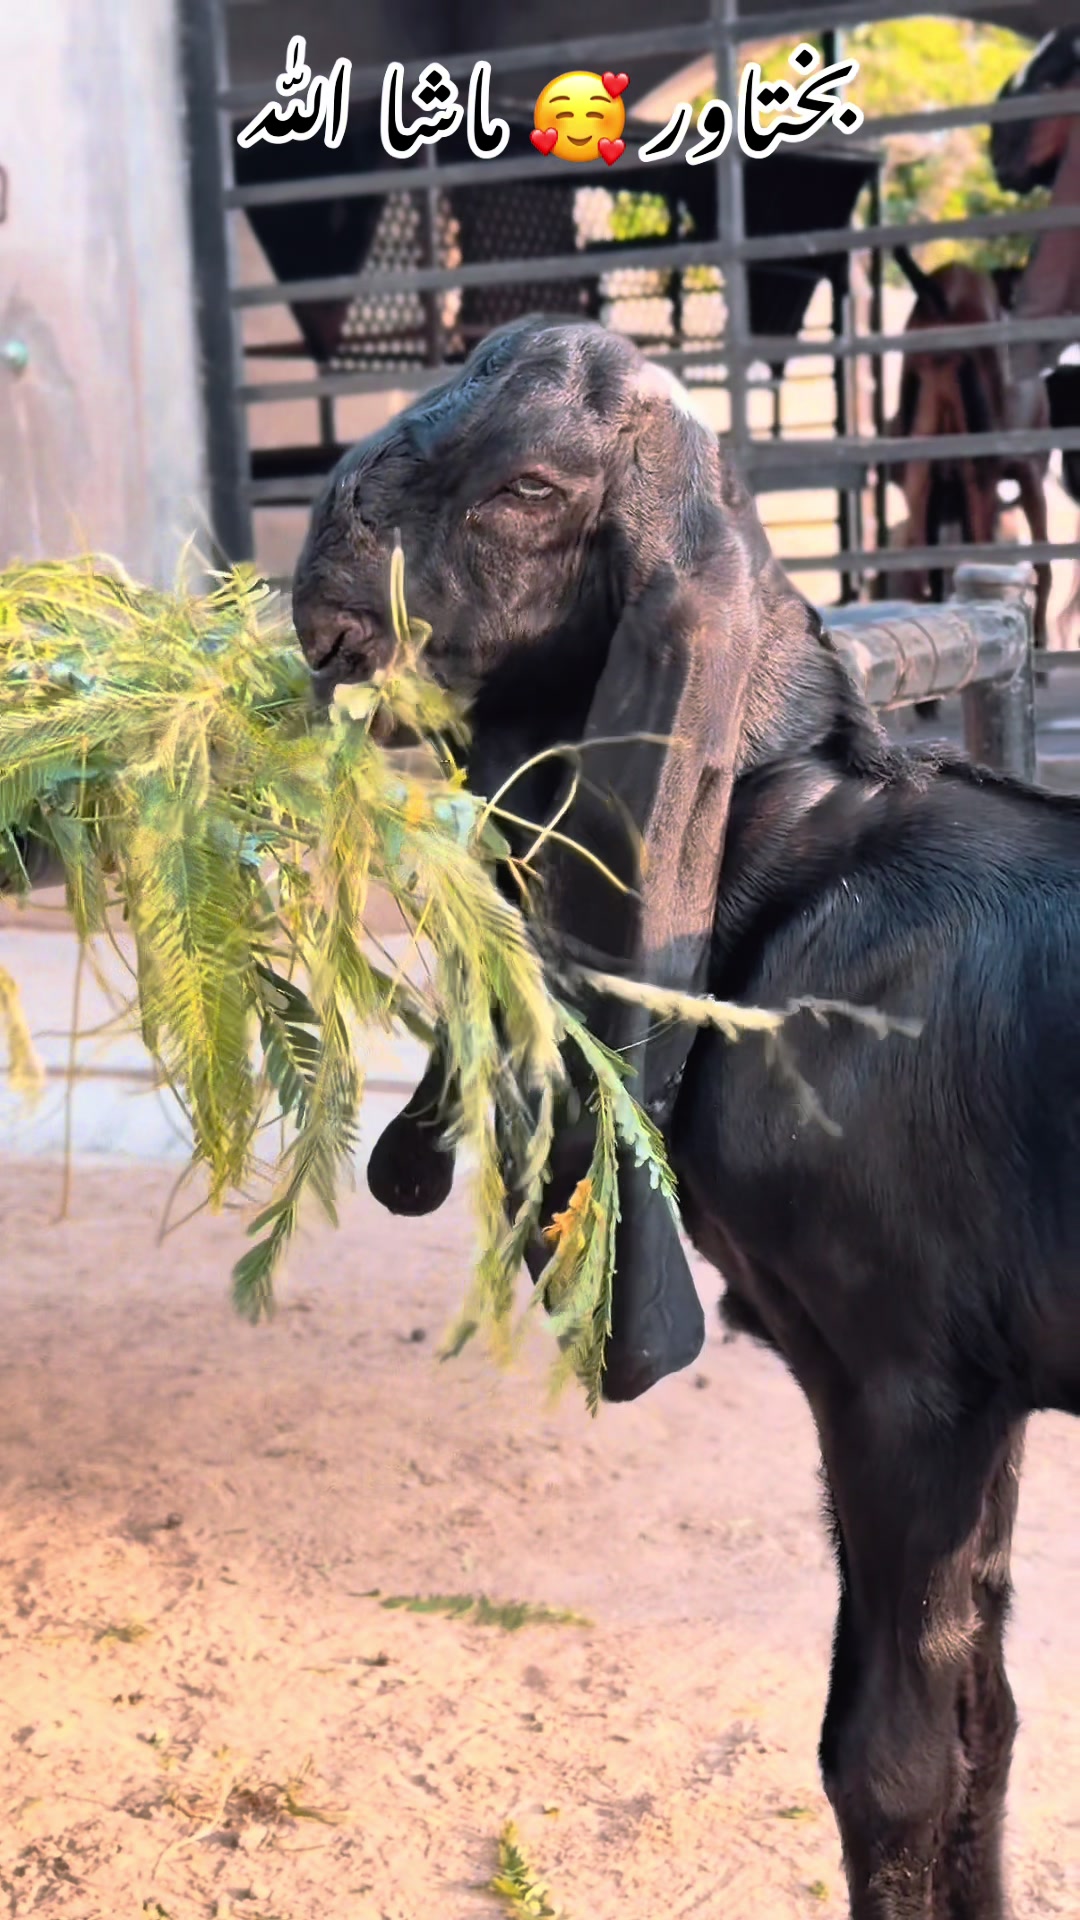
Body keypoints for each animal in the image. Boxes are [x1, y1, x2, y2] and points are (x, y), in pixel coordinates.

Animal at [292, 319, 1080, 1919]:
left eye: (533, 487)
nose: (320, 555)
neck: (789, 876)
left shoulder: (905, 1379)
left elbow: (887, 1757)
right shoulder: (988, 1387)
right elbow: (991, 1717)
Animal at [889, 246, 1051, 646]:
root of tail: (940, 295)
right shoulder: (1029, 474)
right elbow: (1044, 562)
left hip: (921, 477)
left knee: (931, 567)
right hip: (981, 474)